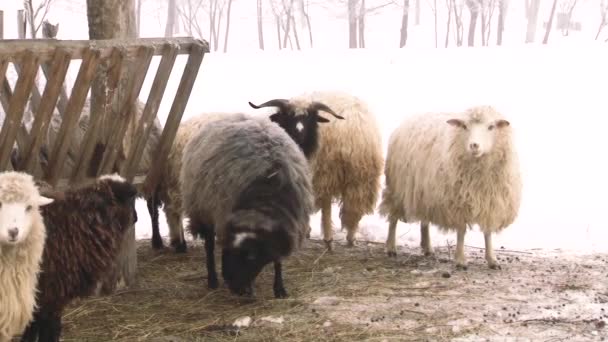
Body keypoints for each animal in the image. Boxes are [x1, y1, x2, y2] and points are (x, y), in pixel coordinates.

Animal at [179, 111, 314, 296]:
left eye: (252, 257)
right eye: (230, 251)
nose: (237, 289)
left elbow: (277, 259)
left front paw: (279, 288)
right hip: (203, 209)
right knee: (209, 246)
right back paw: (212, 280)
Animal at [246, 91, 380, 251]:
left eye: (310, 117)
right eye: (289, 115)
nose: (299, 132)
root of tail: (351, 130)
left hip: (326, 171)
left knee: (327, 204)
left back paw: (328, 239)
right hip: (361, 178)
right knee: (354, 207)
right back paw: (350, 237)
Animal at [376, 104, 524, 270]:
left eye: (491, 127)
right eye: (465, 126)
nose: (474, 145)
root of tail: (412, 118)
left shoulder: (491, 203)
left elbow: (487, 233)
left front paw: (492, 259)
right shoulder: (457, 202)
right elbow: (461, 231)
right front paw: (460, 260)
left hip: (424, 192)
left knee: (424, 221)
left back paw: (427, 247)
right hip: (397, 188)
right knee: (393, 218)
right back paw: (390, 247)